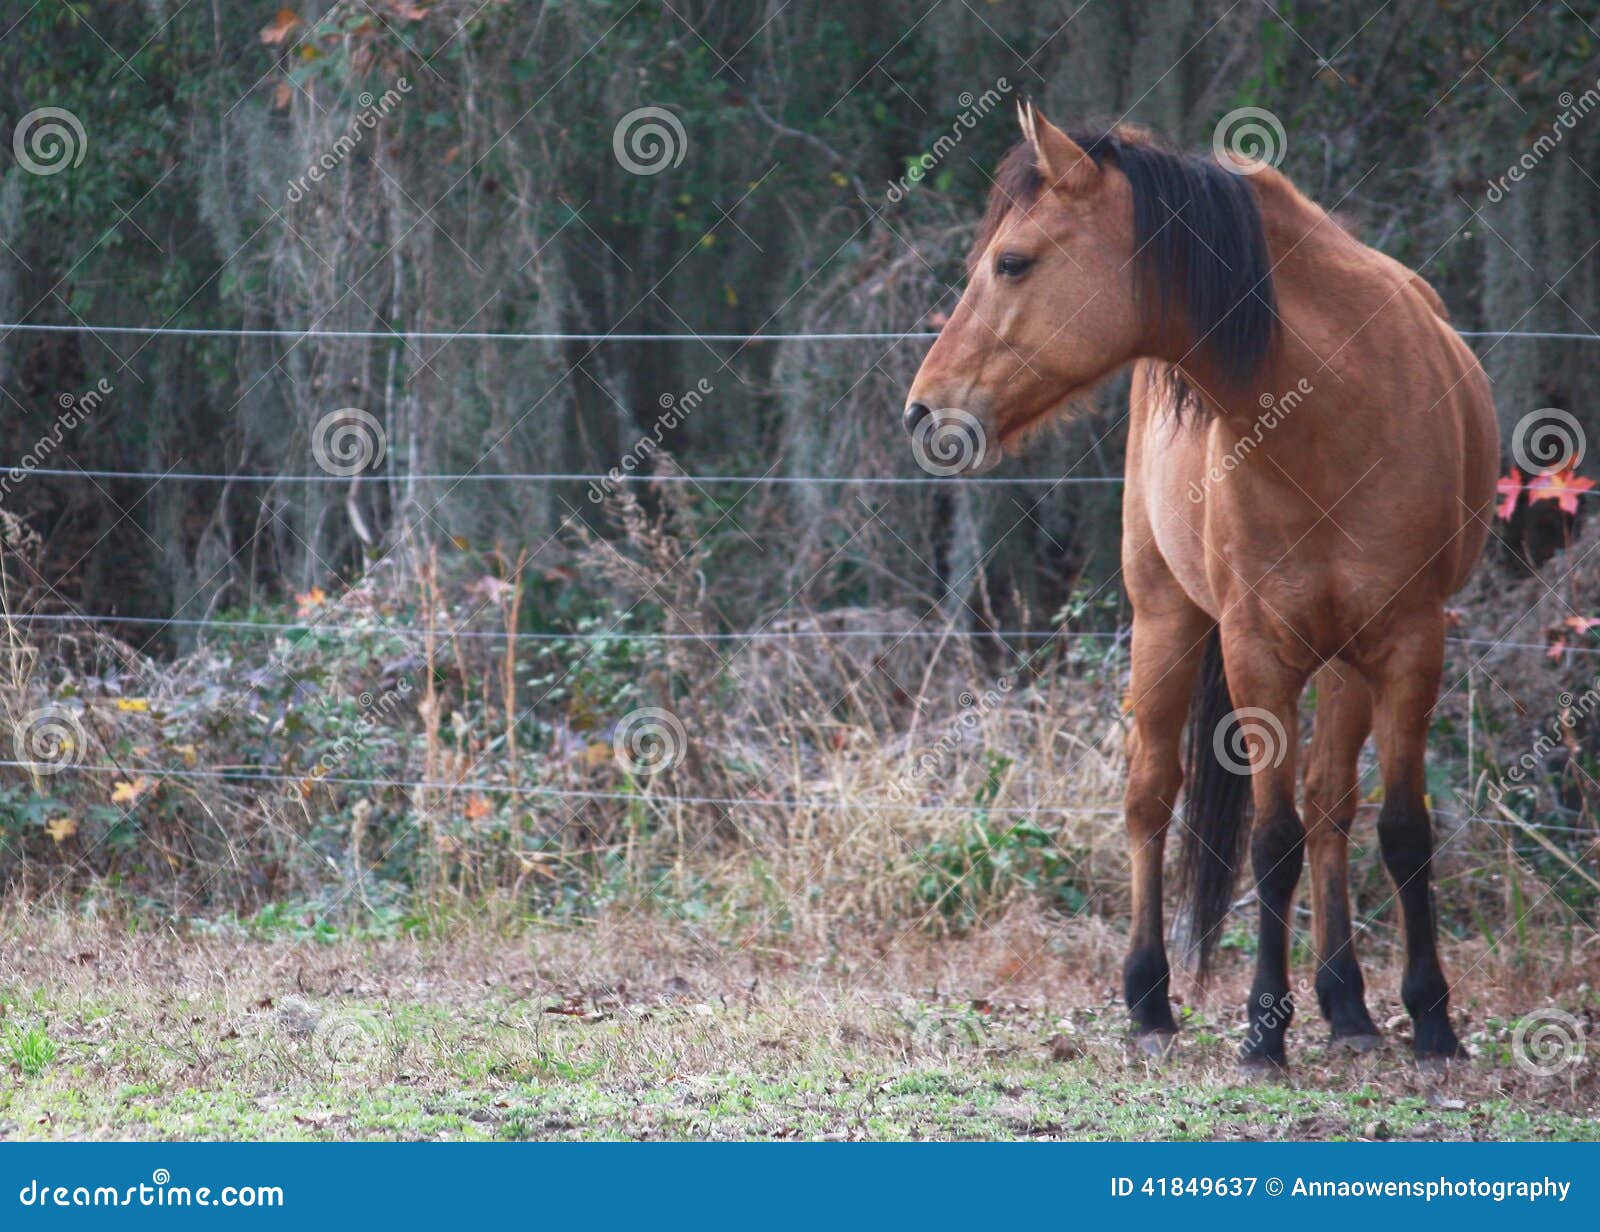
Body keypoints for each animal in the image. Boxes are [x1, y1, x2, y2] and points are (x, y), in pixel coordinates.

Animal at [902, 105, 1497, 1062]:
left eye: (1012, 262)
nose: (924, 411)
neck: (1336, 412)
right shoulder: (1256, 652)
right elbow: (1270, 840)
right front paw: (1263, 1029)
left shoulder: (1411, 643)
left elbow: (1401, 831)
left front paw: (1431, 1018)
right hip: (1168, 620)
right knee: (1151, 798)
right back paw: (1149, 998)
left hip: (1345, 661)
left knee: (1332, 807)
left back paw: (1347, 1005)